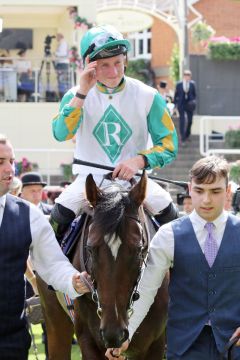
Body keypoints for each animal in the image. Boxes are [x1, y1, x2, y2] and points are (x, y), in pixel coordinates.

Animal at [38, 172, 169, 360]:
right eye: (90, 248)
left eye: (138, 249)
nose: (113, 333)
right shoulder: (88, 340)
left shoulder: (155, 344)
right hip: (55, 320)